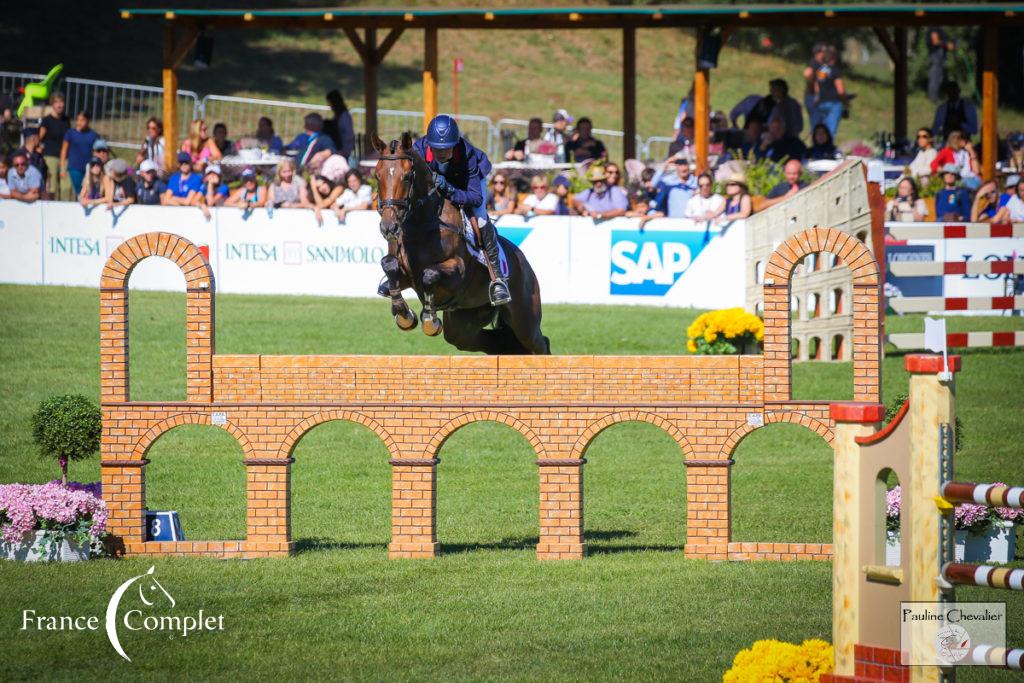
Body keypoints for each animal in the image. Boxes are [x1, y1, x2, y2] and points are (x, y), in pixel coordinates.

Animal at [372, 134, 552, 358]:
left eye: (406, 177)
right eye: (377, 176)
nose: (389, 227)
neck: (422, 222)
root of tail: (525, 263)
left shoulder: (458, 272)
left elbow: (429, 274)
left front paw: (429, 318)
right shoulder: (406, 274)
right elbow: (389, 265)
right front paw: (404, 314)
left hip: (524, 318)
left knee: (539, 343)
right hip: (464, 322)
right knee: (497, 342)